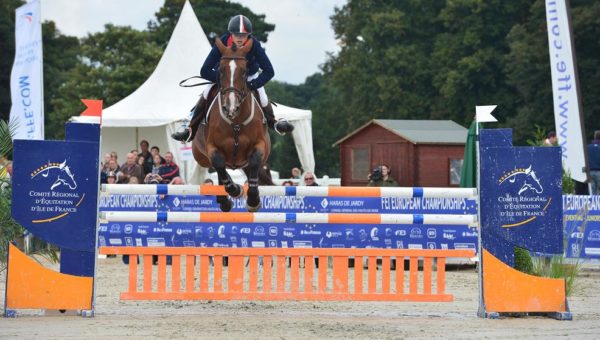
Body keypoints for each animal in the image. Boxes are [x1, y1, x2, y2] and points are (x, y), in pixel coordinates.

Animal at [192, 37, 272, 212]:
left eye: (244, 72)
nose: (231, 107)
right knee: (220, 170)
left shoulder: (260, 144)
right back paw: (225, 200)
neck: (236, 121)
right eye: (221, 71)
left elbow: (255, 160)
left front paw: (253, 200)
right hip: (200, 156)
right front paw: (235, 190)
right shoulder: (212, 147)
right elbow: (218, 164)